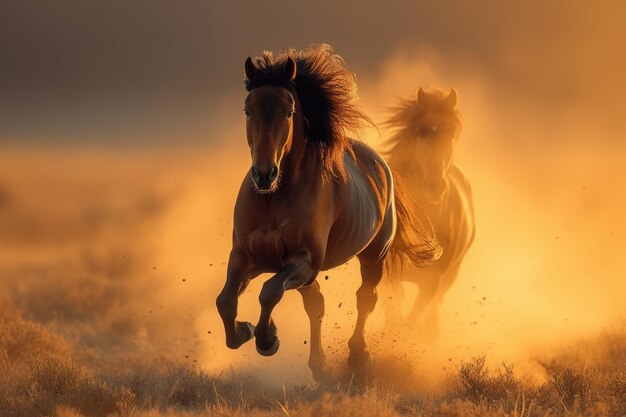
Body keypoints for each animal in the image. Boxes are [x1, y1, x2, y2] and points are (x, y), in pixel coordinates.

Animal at [216, 44, 438, 378]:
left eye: (288, 111)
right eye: (247, 110)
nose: (264, 174)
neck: (273, 199)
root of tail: (379, 164)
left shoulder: (304, 261)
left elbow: (269, 291)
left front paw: (267, 339)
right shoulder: (244, 257)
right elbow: (226, 302)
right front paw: (245, 331)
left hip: (373, 256)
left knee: (364, 298)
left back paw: (357, 355)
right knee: (316, 303)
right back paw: (318, 366)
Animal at [380, 87, 472, 334]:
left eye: (451, 132)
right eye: (421, 131)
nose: (435, 186)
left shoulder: (432, 283)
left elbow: (412, 319)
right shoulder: (387, 277)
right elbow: (393, 313)